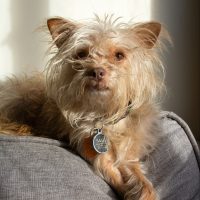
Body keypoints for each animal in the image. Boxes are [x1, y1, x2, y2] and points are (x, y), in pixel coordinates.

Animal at [0, 16, 169, 200]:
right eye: (81, 54)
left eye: (119, 55)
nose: (97, 71)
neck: (105, 114)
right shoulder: (91, 151)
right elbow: (112, 173)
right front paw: (128, 190)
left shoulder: (129, 154)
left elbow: (137, 173)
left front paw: (143, 190)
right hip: (22, 97)